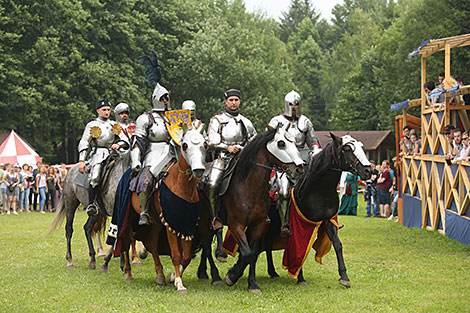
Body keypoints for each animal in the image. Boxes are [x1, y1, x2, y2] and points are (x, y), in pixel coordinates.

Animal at [217, 125, 304, 292]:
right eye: (281, 143)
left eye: (295, 143)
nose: (299, 169)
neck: (249, 187)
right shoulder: (236, 225)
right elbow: (247, 253)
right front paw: (232, 276)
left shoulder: (259, 225)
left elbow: (253, 253)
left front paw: (252, 283)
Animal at [262, 132, 372, 286]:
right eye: (347, 149)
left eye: (361, 146)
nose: (368, 170)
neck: (319, 188)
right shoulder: (298, 223)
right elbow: (297, 247)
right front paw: (300, 277)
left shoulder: (328, 220)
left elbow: (338, 244)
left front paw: (344, 276)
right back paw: (272, 271)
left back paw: (272, 272)